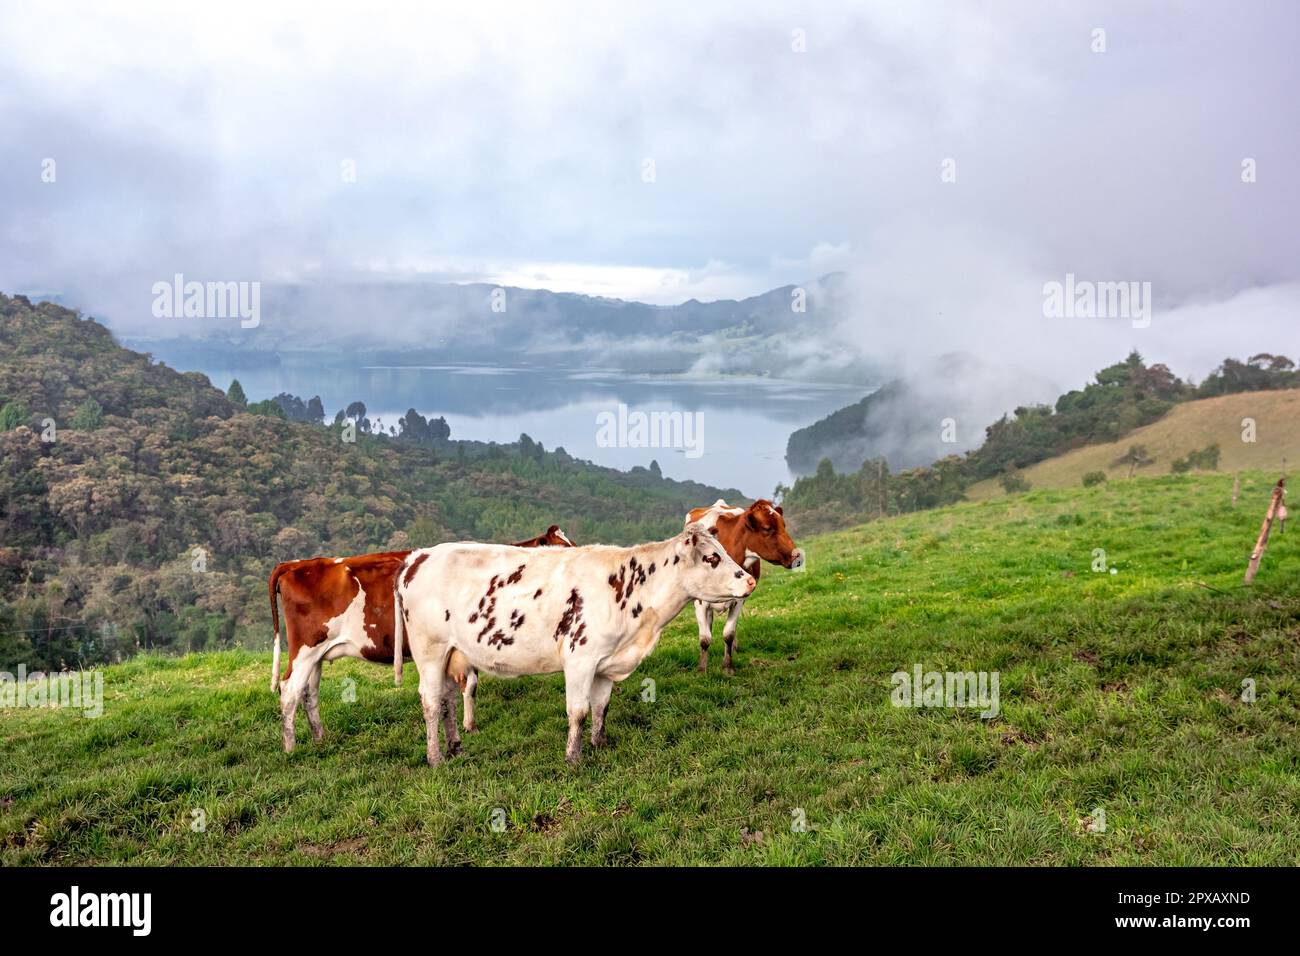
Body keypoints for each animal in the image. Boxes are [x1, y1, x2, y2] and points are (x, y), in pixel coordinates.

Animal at [269, 525, 574, 752]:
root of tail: (296, 564)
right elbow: (470, 684)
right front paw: (469, 726)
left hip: (317, 654)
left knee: (309, 692)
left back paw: (320, 738)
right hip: (306, 648)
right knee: (289, 691)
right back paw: (290, 748)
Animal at [395, 524, 755, 765]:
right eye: (711, 558)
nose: (750, 580)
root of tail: (419, 556)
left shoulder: (606, 664)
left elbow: (601, 707)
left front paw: (599, 743)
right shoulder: (580, 659)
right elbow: (578, 711)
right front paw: (573, 757)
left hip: (451, 654)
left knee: (447, 701)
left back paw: (455, 747)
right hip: (430, 651)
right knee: (431, 703)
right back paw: (435, 757)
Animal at [685, 498, 804, 674]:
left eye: (784, 525)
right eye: (768, 528)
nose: (797, 556)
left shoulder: (739, 599)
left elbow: (729, 633)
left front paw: (728, 667)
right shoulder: (700, 601)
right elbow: (705, 638)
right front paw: (701, 670)